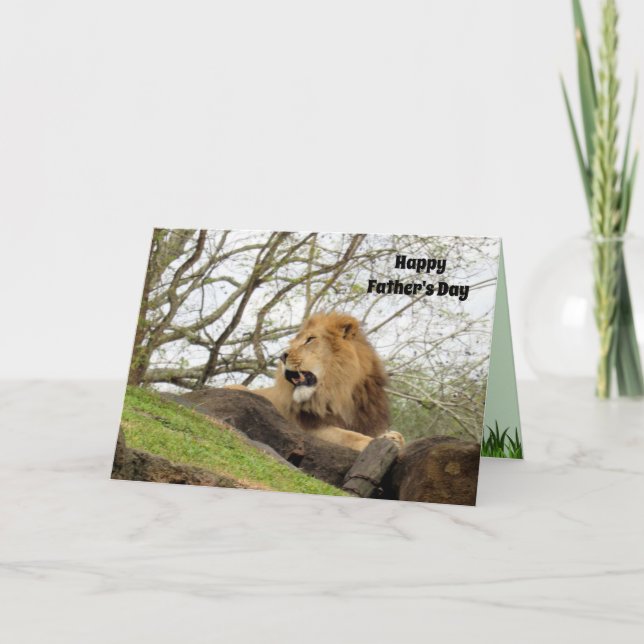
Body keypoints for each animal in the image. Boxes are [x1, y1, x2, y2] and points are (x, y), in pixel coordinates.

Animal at [234, 312, 404, 452]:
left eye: (310, 339)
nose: (282, 356)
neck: (341, 394)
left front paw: (393, 437)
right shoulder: (308, 427)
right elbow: (347, 436)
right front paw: (374, 442)